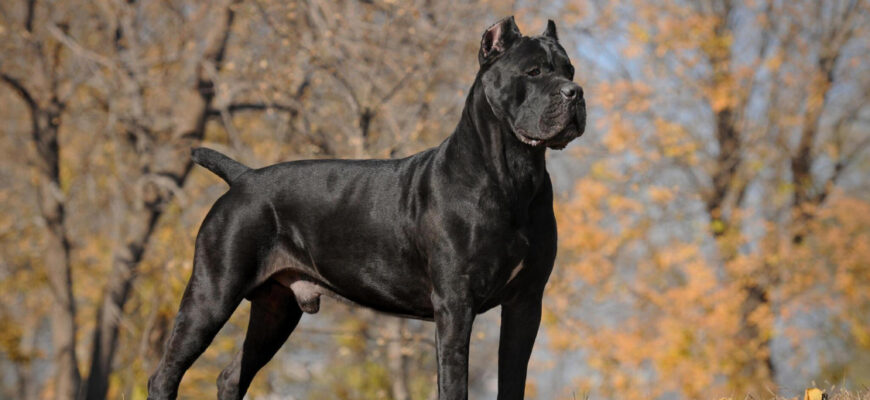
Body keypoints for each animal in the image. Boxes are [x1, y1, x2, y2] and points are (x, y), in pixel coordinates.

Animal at [148, 16, 584, 400]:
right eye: (533, 71)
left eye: (570, 70)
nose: (575, 92)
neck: (514, 174)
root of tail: (244, 177)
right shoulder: (456, 304)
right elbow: (453, 383)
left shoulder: (525, 302)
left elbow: (513, 380)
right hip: (212, 294)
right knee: (164, 375)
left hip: (276, 309)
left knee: (231, 375)